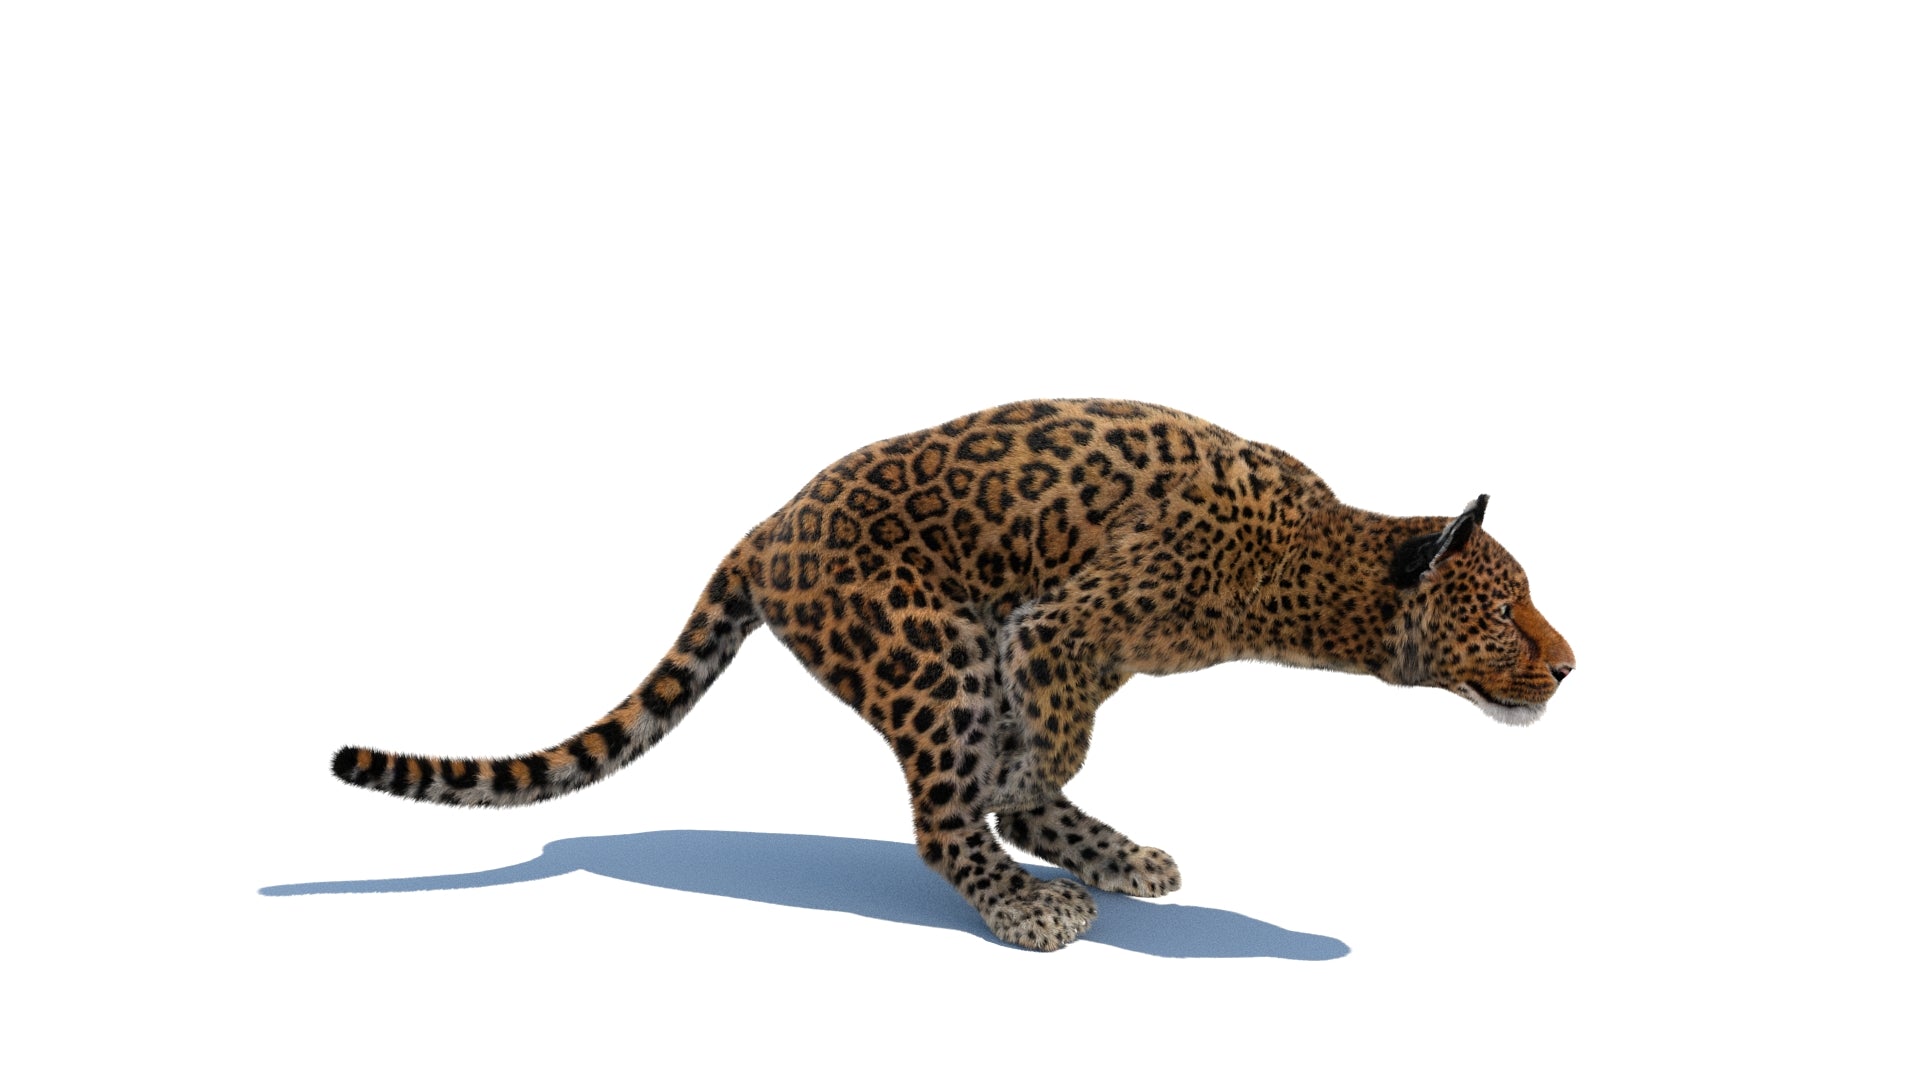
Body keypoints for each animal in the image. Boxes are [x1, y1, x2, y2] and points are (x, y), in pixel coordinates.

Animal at [333, 399, 1575, 950]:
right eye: (1503, 611)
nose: (1568, 666)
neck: (1309, 566)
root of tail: (765, 529)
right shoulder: (1054, 628)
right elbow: (1033, 756)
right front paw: (1023, 800)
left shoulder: (1084, 651)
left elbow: (1045, 763)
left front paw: (1060, 816)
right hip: (927, 652)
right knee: (939, 818)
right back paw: (1028, 901)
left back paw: (1114, 860)